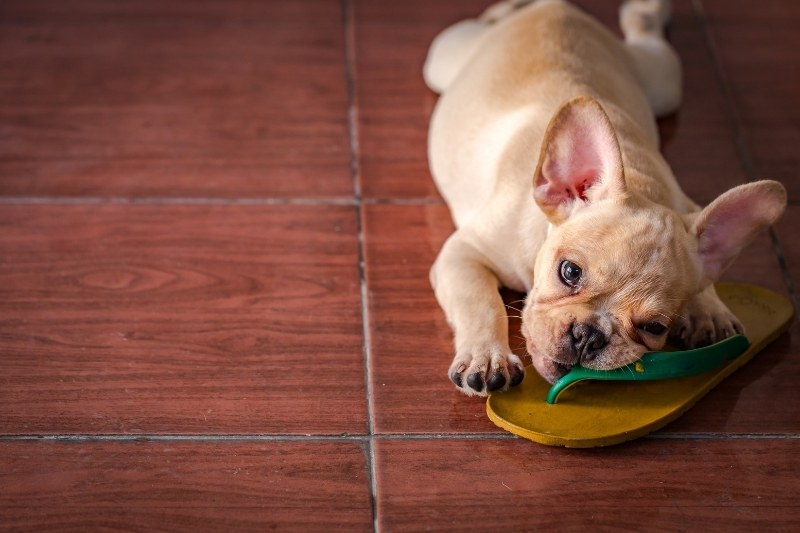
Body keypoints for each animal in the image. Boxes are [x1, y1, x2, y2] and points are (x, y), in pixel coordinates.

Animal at [424, 0, 788, 394]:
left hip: (660, 82)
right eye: (569, 272)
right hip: (444, 58)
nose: (588, 335)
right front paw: (487, 356)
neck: (641, 181)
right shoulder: (464, 253)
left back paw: (645, 13)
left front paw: (709, 309)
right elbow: (480, 301)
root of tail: (555, 7)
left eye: (655, 327)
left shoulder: (688, 208)